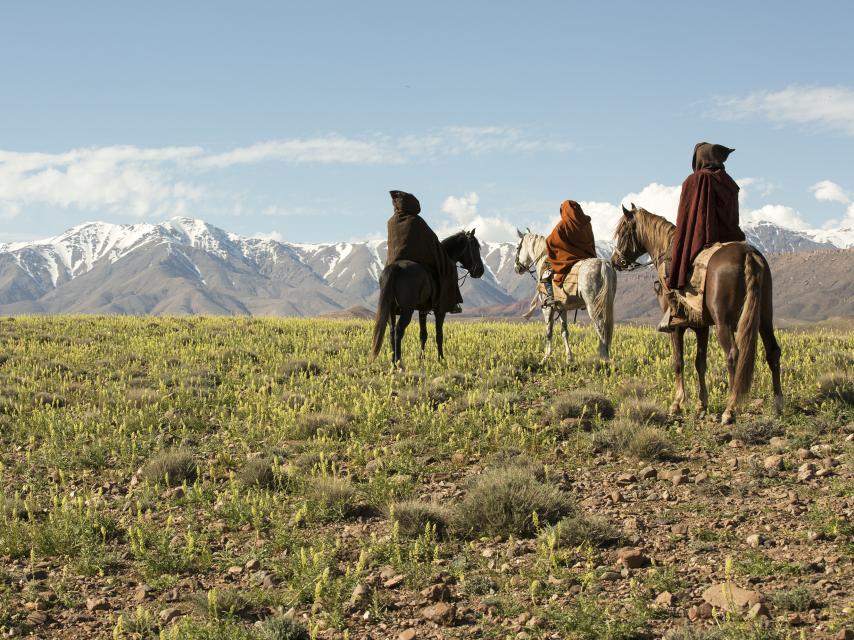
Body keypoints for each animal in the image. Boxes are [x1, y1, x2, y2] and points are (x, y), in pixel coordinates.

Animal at [516, 230, 616, 362]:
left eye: (517, 247)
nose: (517, 268)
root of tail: (603, 264)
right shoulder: (561, 308)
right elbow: (564, 331)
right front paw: (569, 358)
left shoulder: (547, 308)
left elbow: (549, 331)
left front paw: (545, 357)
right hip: (607, 303)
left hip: (593, 305)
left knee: (600, 326)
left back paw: (604, 357)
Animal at [612, 205, 784, 424]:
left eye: (622, 232)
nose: (615, 261)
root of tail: (748, 254)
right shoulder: (701, 327)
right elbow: (700, 363)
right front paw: (701, 406)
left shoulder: (676, 327)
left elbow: (679, 362)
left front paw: (677, 404)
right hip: (764, 319)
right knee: (773, 352)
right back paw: (778, 406)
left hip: (724, 323)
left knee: (733, 355)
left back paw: (730, 410)